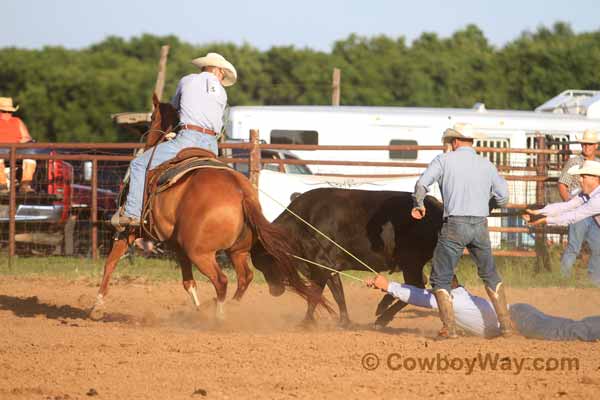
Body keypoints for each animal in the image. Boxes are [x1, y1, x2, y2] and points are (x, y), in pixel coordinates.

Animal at [90, 95, 328, 320]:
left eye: (152, 118)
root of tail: (242, 193)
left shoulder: (129, 231)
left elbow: (110, 262)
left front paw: (97, 306)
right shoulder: (178, 247)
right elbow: (188, 282)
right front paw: (198, 310)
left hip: (200, 253)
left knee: (221, 281)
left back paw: (218, 316)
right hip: (236, 251)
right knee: (245, 277)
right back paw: (226, 307)